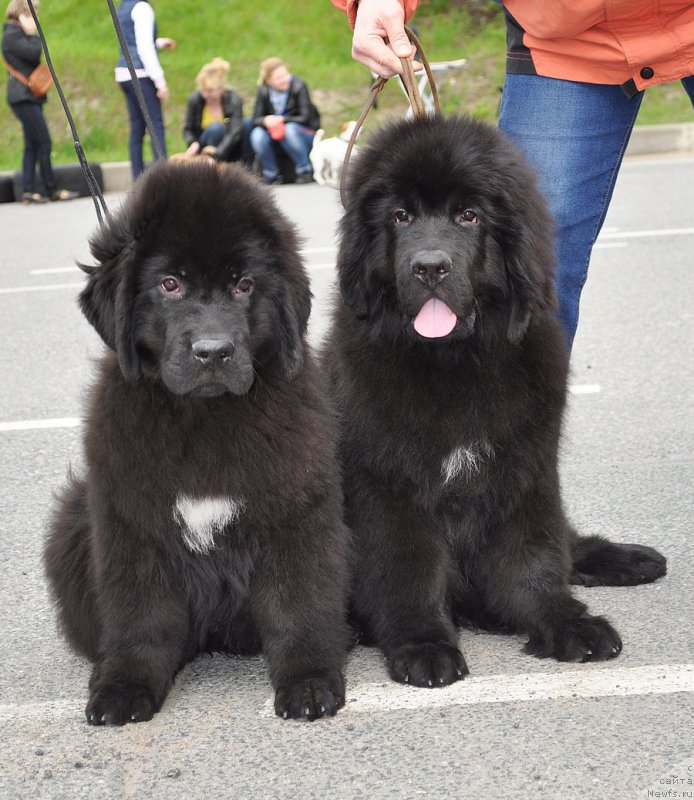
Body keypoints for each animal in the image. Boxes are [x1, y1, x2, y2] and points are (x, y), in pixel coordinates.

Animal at [48, 161, 350, 724]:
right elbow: (140, 616)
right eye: (170, 284)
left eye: (243, 285)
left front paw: (309, 683)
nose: (213, 352)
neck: (204, 419)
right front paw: (123, 688)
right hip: (74, 515)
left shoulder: (296, 511)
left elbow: (299, 602)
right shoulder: (131, 521)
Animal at [324, 117, 668, 688]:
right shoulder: (389, 484)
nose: (429, 267)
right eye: (400, 216)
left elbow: (532, 559)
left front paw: (564, 622)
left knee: (567, 543)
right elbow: (405, 569)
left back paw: (628, 560)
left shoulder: (523, 470)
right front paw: (424, 644)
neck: (454, 363)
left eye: (469, 215)